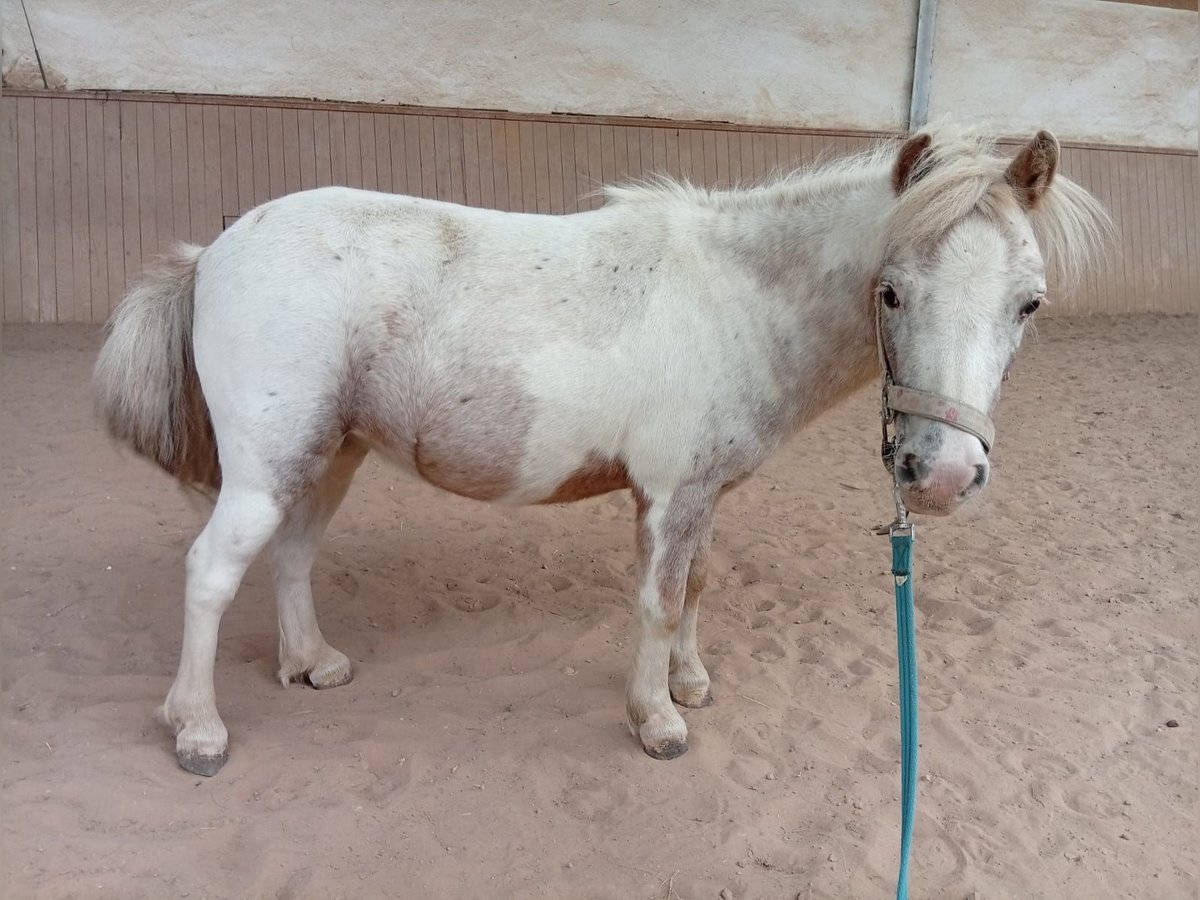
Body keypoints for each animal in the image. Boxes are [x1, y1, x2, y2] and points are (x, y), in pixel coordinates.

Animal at [94, 126, 1110, 776]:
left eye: (1029, 302)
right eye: (892, 291)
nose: (942, 474)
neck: (736, 295)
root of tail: (212, 253)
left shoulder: (705, 494)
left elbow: (696, 587)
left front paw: (690, 684)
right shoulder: (668, 495)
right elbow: (657, 602)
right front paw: (656, 720)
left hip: (327, 456)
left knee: (294, 558)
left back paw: (313, 664)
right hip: (267, 470)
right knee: (212, 574)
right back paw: (197, 730)